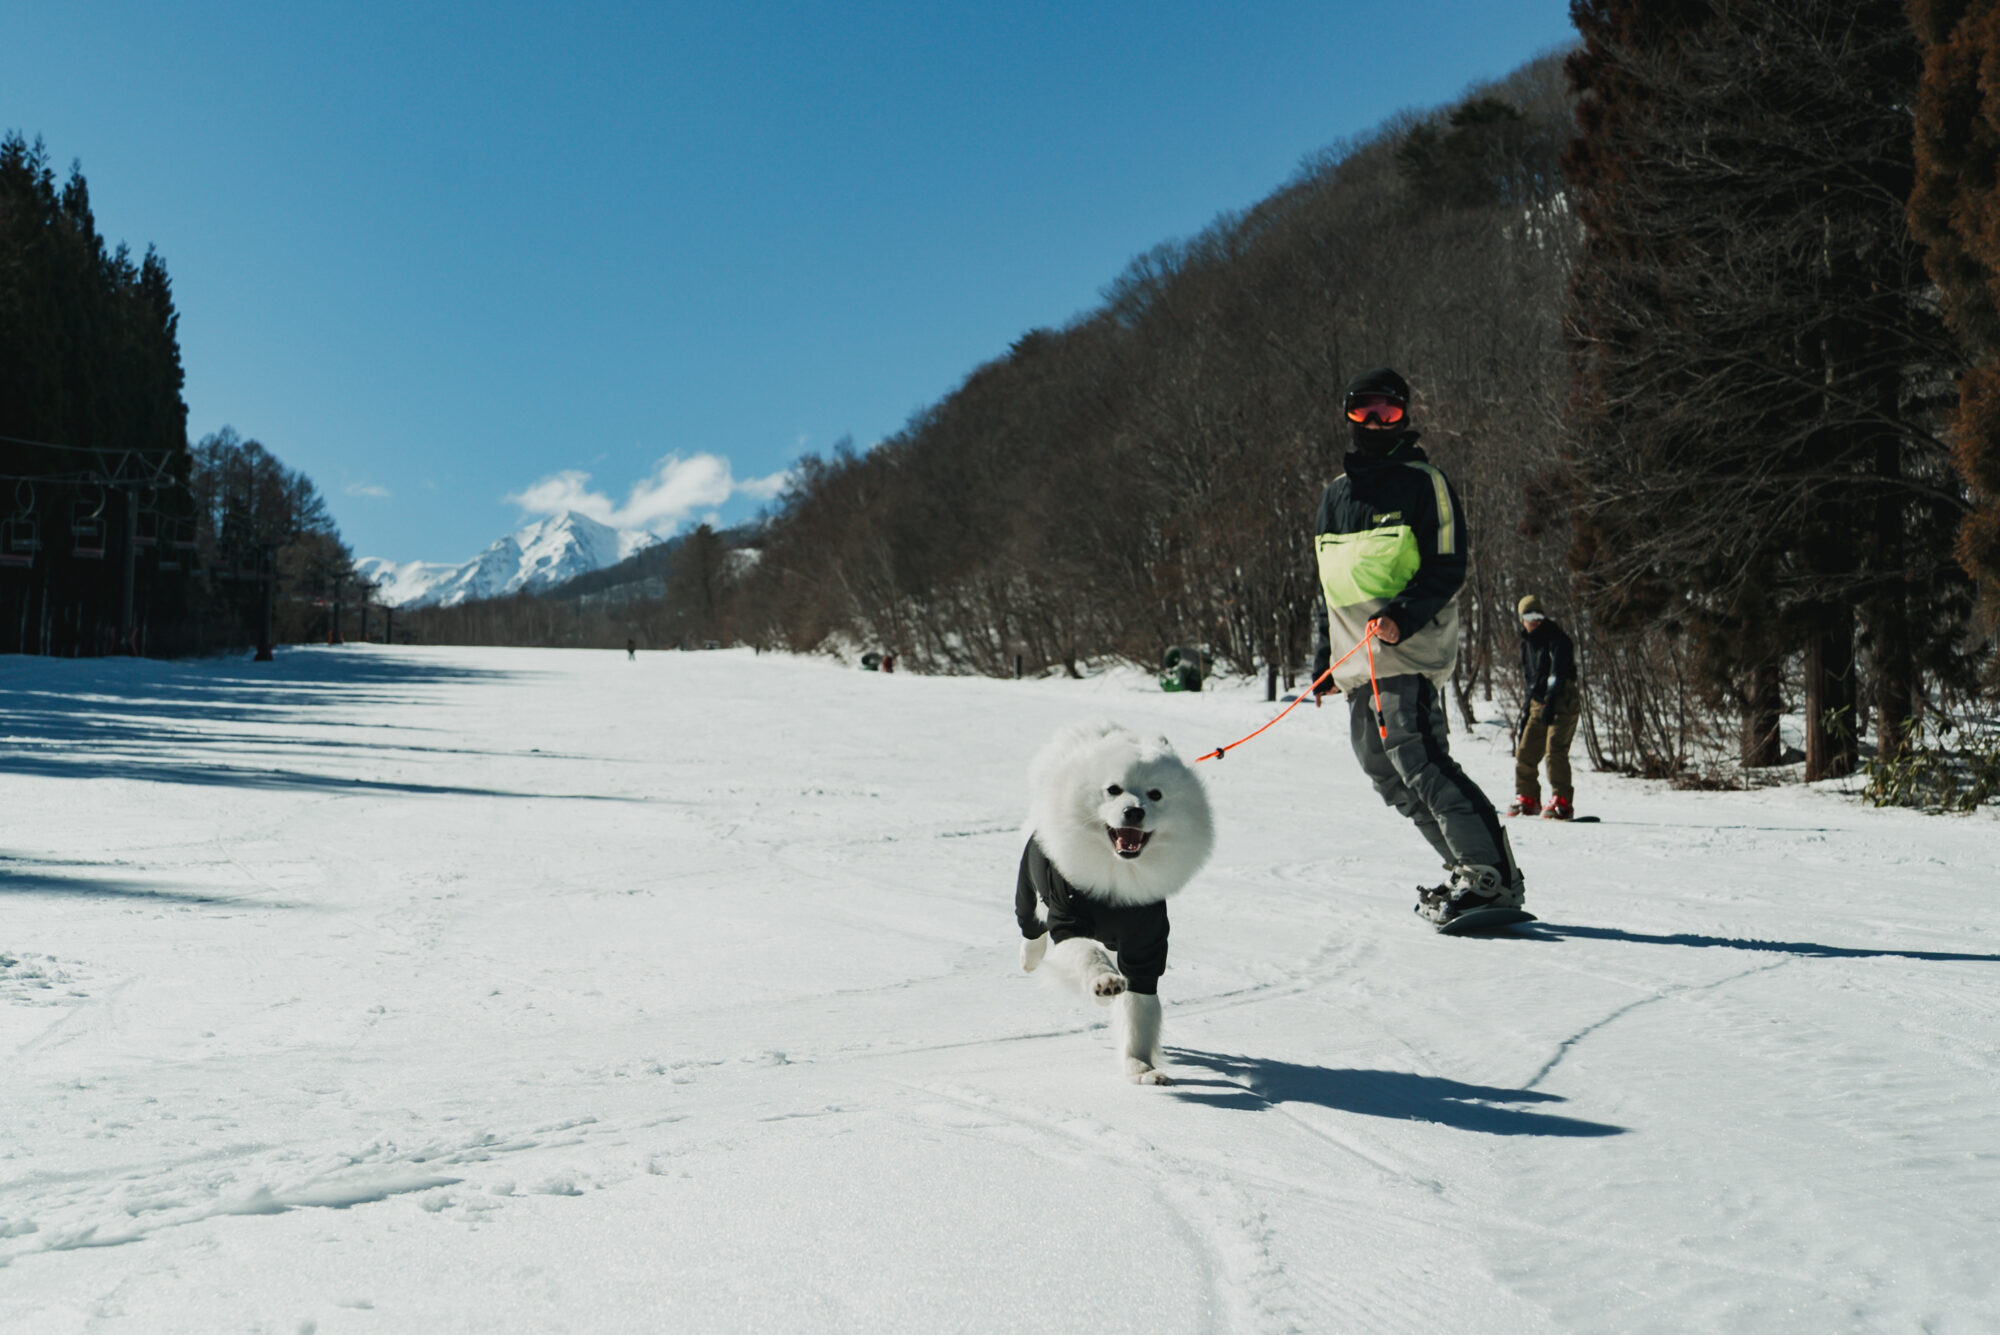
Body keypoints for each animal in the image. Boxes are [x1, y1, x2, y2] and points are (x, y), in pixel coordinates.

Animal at [1016, 719, 1216, 1087]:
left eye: (1155, 794)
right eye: (1113, 789)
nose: (1134, 811)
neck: (1119, 874)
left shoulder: (1146, 943)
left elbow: (1138, 1011)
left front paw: (1141, 1068)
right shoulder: (1067, 918)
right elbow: (1086, 952)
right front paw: (1105, 983)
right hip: (1027, 883)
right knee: (1030, 924)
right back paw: (1030, 959)